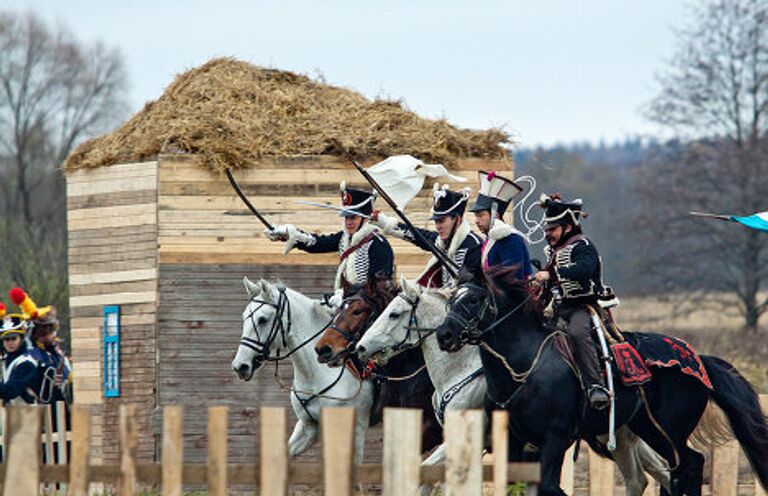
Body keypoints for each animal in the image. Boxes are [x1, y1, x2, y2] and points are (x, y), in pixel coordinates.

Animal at [231, 278, 376, 464]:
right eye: (244, 317)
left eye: (262, 319)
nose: (240, 366)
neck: (317, 374)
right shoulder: (308, 427)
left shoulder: (356, 431)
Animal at [438, 268, 768, 496]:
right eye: (452, 298)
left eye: (475, 298)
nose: (445, 335)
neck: (524, 365)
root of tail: (699, 360)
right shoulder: (515, 441)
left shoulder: (555, 438)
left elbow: (549, 487)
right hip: (647, 428)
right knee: (678, 469)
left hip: (669, 431)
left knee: (689, 466)